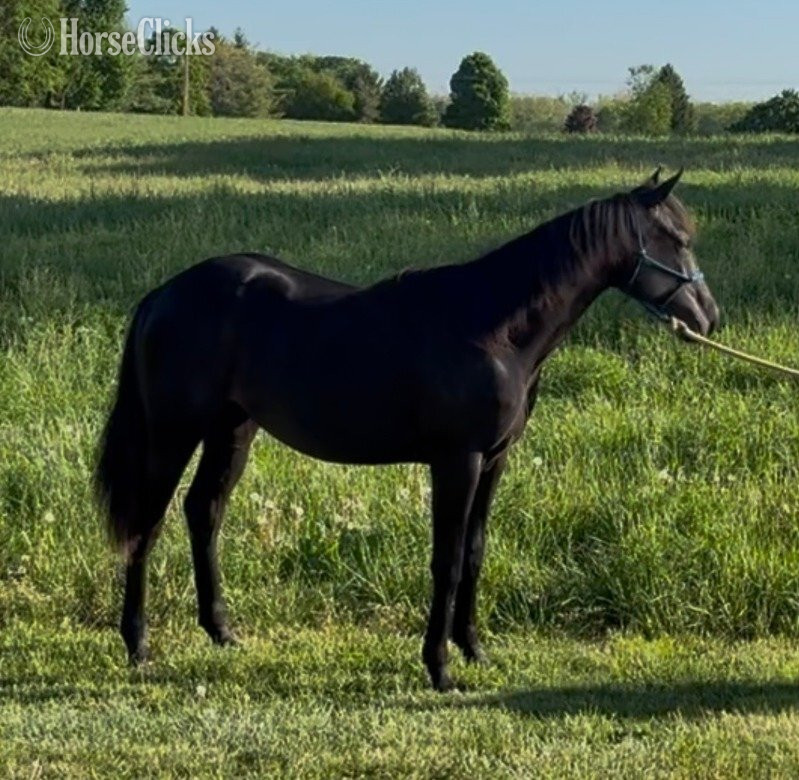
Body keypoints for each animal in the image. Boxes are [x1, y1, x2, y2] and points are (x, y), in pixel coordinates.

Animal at [95, 168, 719, 691]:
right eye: (676, 239)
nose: (708, 318)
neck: (494, 327)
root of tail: (166, 293)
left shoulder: (495, 458)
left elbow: (474, 551)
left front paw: (474, 650)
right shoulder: (458, 460)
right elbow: (447, 560)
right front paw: (439, 668)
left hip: (232, 431)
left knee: (203, 512)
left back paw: (222, 632)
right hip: (172, 434)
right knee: (146, 526)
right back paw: (138, 644)